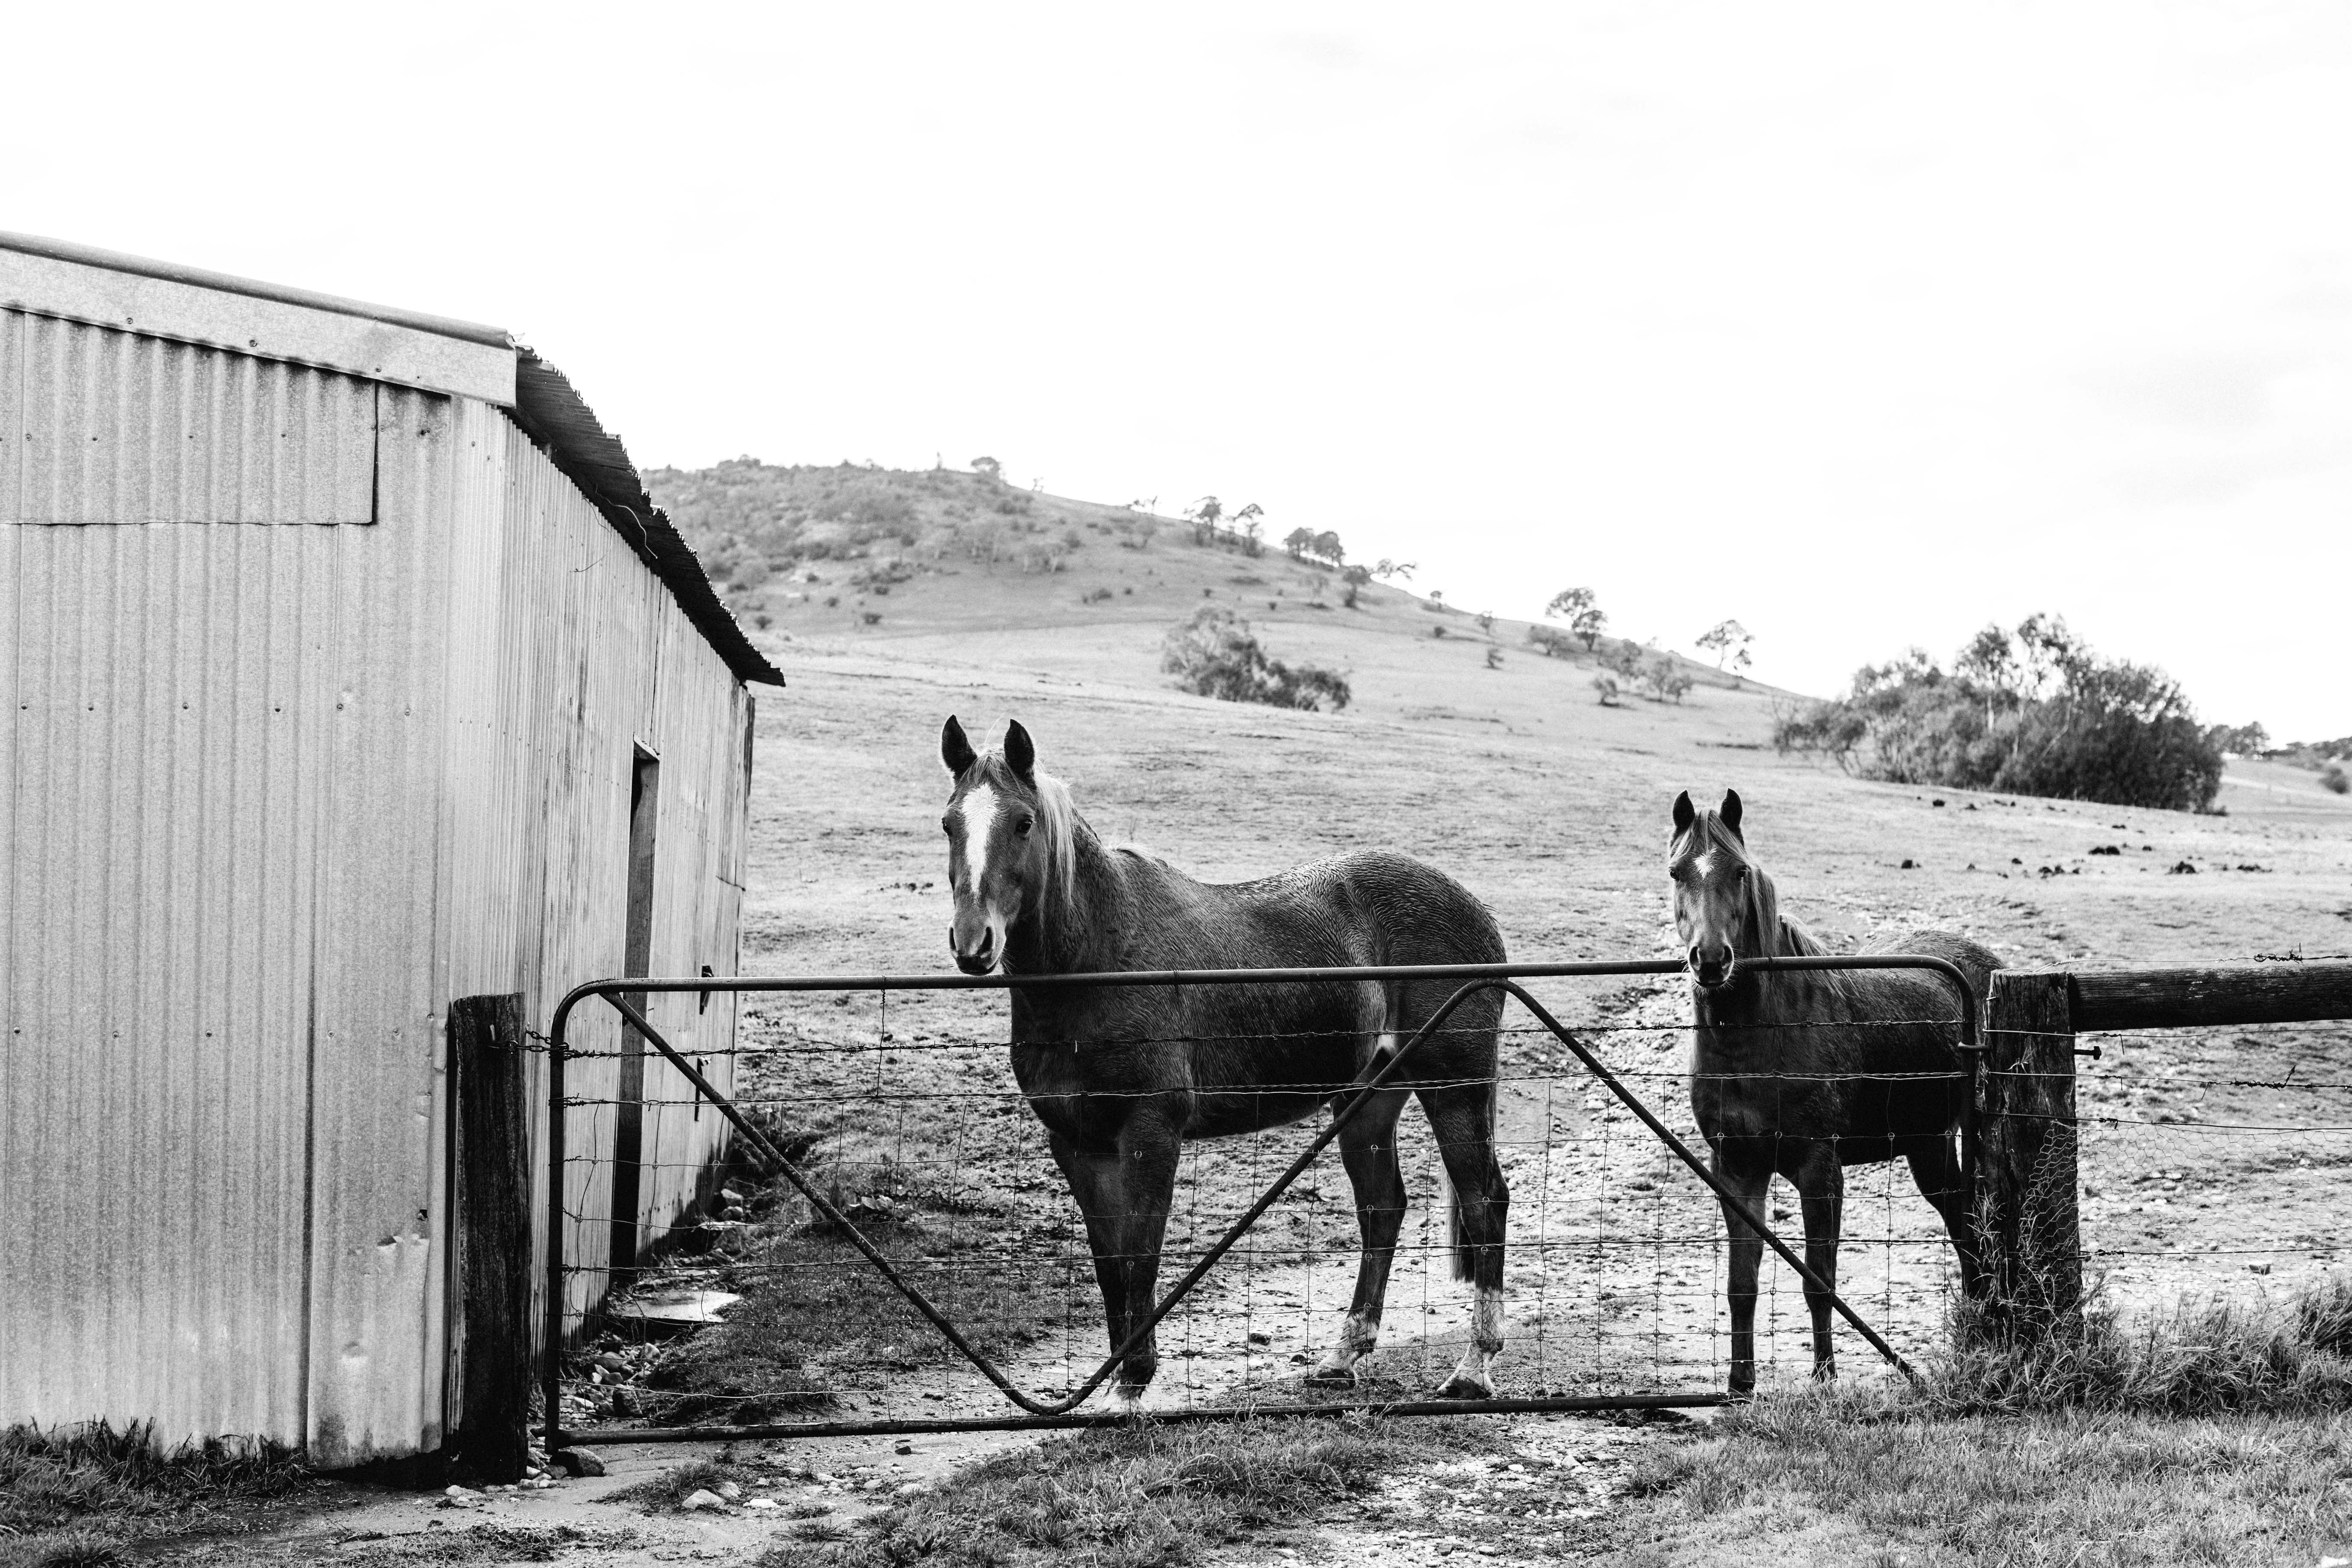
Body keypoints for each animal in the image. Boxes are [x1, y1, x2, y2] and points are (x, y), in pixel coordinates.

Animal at [938, 714, 1512, 1412]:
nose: (974, 943)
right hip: (1367, 1101)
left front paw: (1131, 1386)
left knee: (1484, 1201)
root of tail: (1475, 913)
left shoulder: (1150, 1132)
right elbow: (1109, 1263)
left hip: (1454, 1089)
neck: (1097, 960)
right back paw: (1342, 1357)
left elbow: (1140, 1252)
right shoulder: (1077, 1142)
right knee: (1383, 1210)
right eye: (949, 823)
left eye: (1022, 822)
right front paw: (1119, 1382)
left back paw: (1474, 1367)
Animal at [1669, 788, 1998, 1392]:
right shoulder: (1736, 1169)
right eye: (1677, 871)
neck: (1760, 1036)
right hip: (1927, 1146)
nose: (1710, 960)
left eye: (1739, 871)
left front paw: (1824, 1380)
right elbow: (1741, 1283)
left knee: (1973, 1229)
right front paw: (1739, 1385)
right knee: (1964, 1228)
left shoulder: (1818, 1169)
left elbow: (1818, 1280)